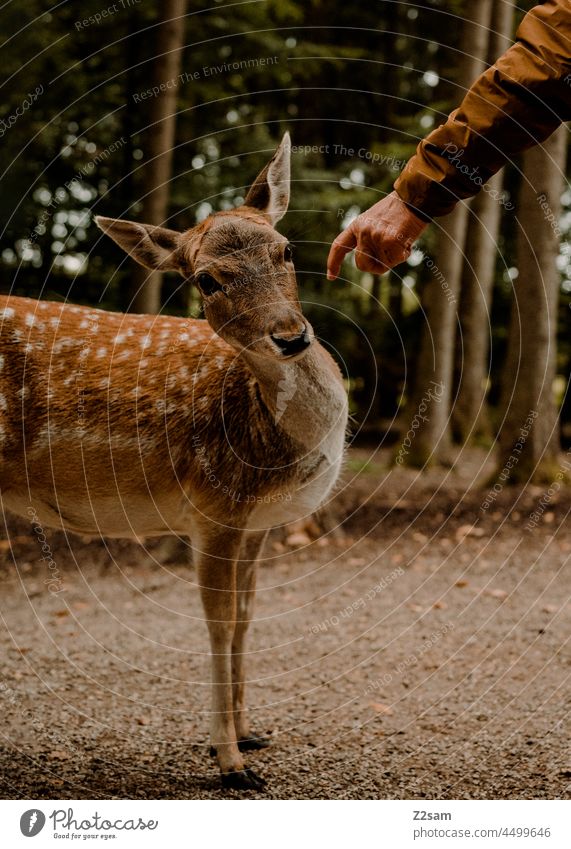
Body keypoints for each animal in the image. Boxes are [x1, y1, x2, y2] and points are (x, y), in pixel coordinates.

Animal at [0, 132, 346, 788]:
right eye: (207, 280)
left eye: (287, 250)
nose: (292, 337)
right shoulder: (213, 505)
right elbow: (217, 622)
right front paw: (231, 764)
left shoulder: (258, 524)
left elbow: (246, 617)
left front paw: (250, 732)